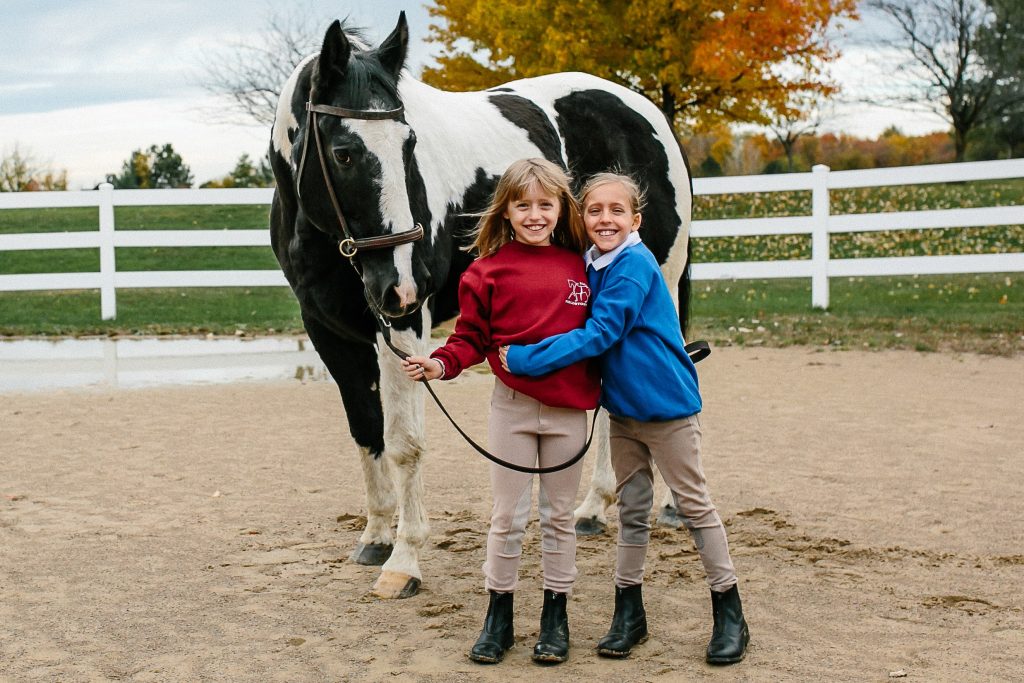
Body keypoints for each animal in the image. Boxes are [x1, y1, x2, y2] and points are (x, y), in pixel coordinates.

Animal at [268, 12, 692, 598]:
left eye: (410, 143)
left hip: (659, 285)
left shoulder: (401, 325)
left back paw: (666, 506)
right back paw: (592, 509)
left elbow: (404, 443)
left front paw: (404, 560)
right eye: (344, 152)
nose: (403, 283)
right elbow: (366, 430)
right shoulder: (329, 330)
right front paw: (375, 536)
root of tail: (647, 112)